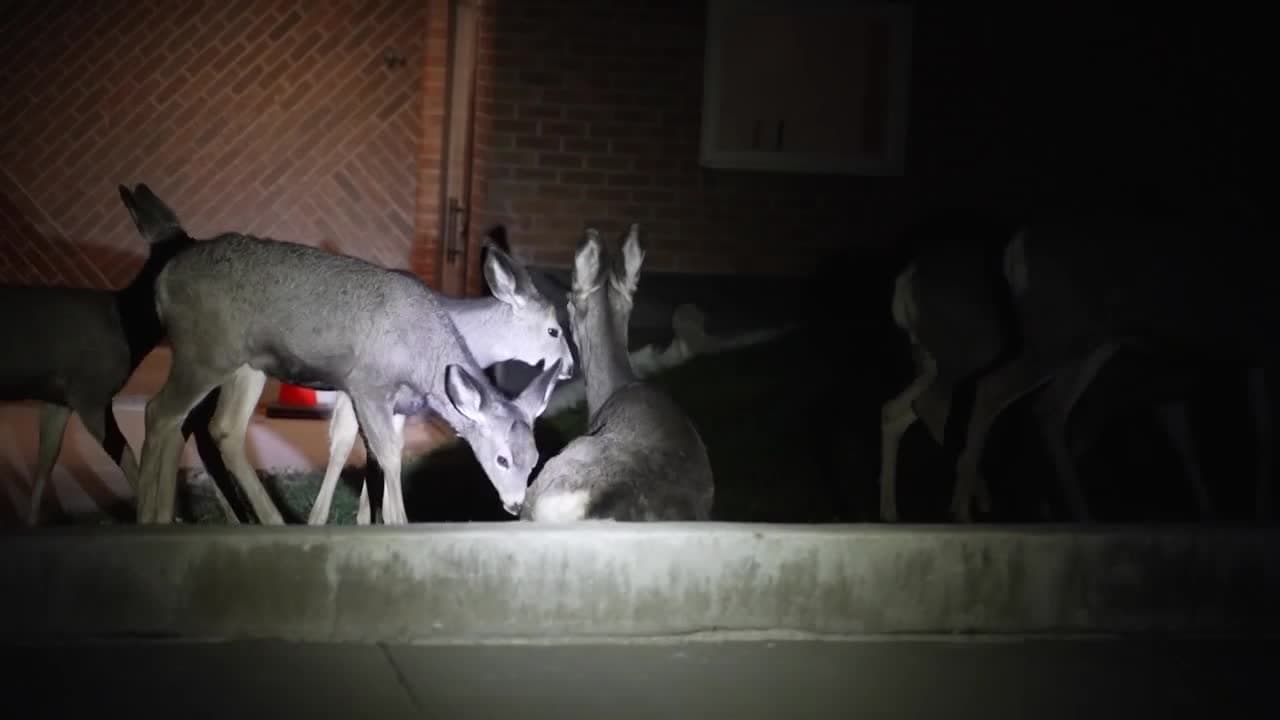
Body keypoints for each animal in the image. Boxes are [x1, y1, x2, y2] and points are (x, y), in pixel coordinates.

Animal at [0, 184, 196, 526]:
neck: (126, 327)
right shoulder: (90, 393)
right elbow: (127, 457)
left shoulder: (58, 398)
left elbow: (45, 461)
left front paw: (31, 522)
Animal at [129, 190, 563, 525]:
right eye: (502, 459)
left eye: (535, 459)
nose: (515, 505)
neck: (422, 347)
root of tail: (164, 278)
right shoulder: (365, 385)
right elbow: (380, 453)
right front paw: (390, 523)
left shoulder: (382, 398)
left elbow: (371, 453)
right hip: (203, 352)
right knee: (161, 412)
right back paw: (150, 517)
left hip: (243, 365)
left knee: (220, 429)